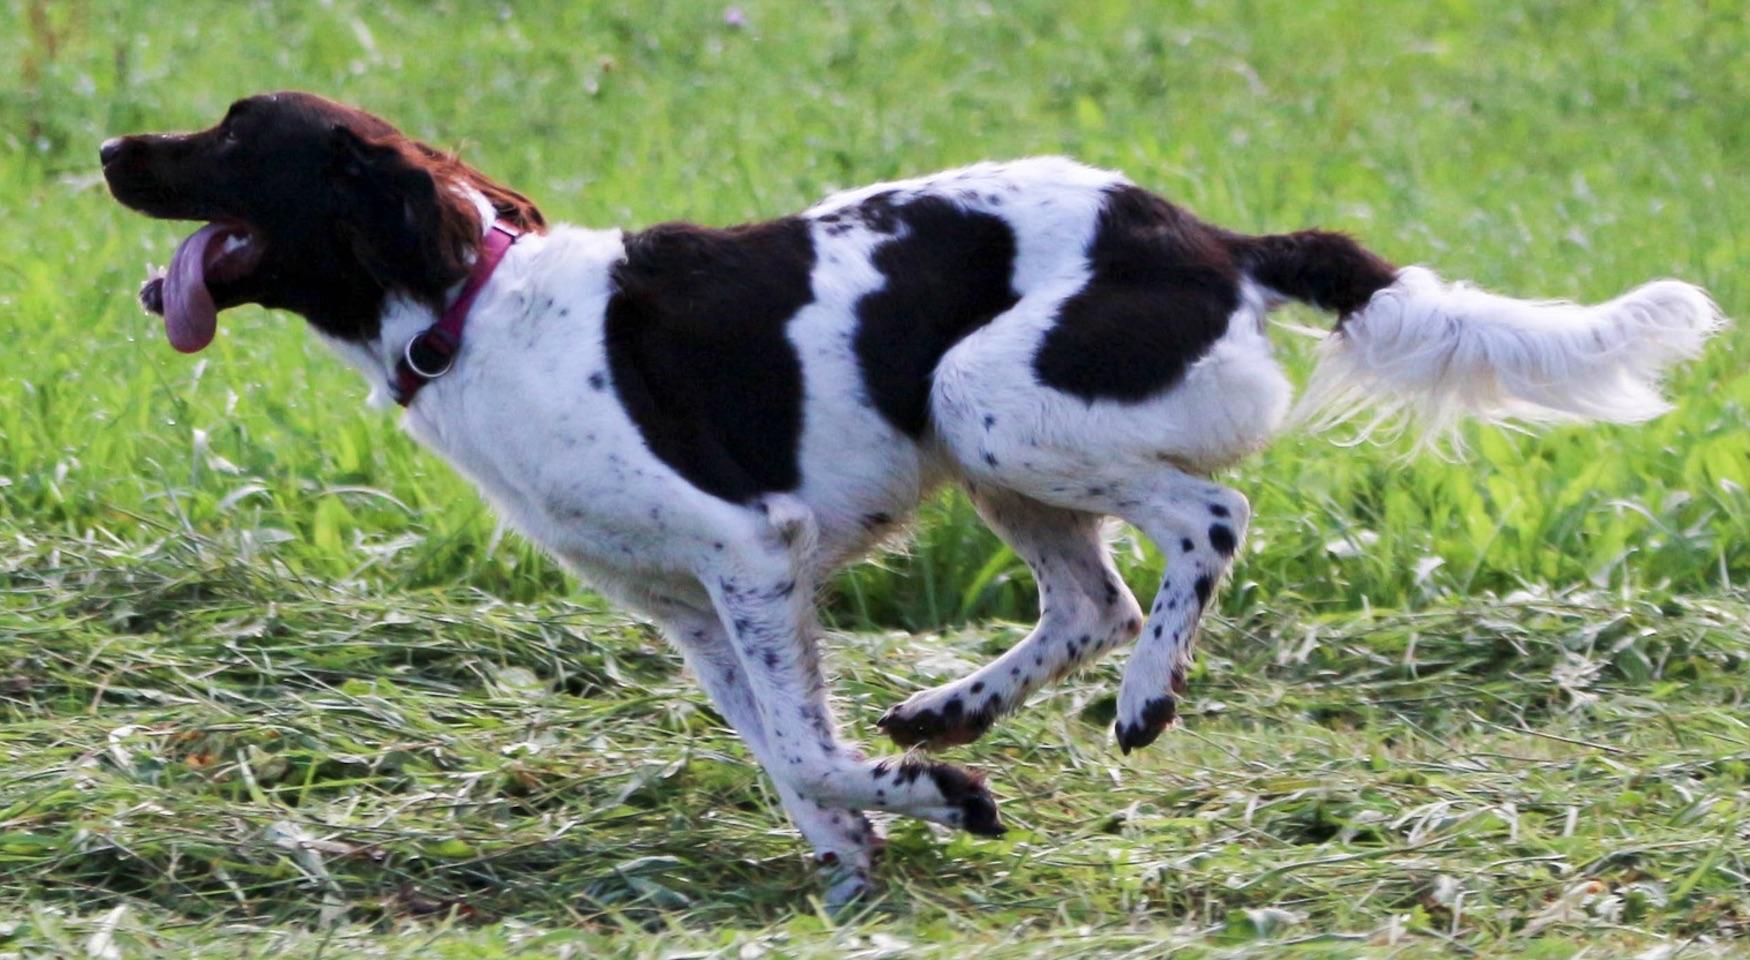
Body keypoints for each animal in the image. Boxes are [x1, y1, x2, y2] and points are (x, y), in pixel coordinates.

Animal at [99, 91, 1722, 909]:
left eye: (233, 135)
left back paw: (1133, 703)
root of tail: (1207, 236)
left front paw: (935, 807)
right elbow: (787, 751)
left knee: (1199, 530)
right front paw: (865, 845)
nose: (111, 147)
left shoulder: (749, 550)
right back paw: (951, 709)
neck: (472, 304)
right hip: (985, 449)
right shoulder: (690, 609)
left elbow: (804, 749)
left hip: (981, 397)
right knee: (1091, 593)